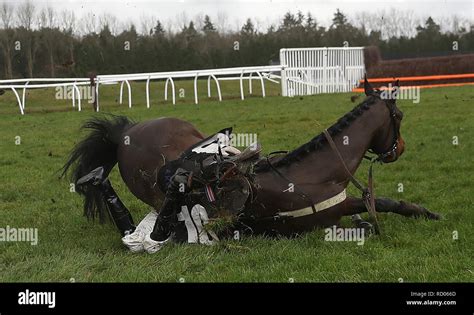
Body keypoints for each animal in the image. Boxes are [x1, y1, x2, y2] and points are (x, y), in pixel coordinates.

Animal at [63, 79, 440, 239]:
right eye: (400, 115)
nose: (400, 148)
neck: (312, 173)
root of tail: (125, 132)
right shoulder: (329, 216)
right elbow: (371, 212)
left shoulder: (344, 203)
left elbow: (385, 203)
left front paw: (426, 213)